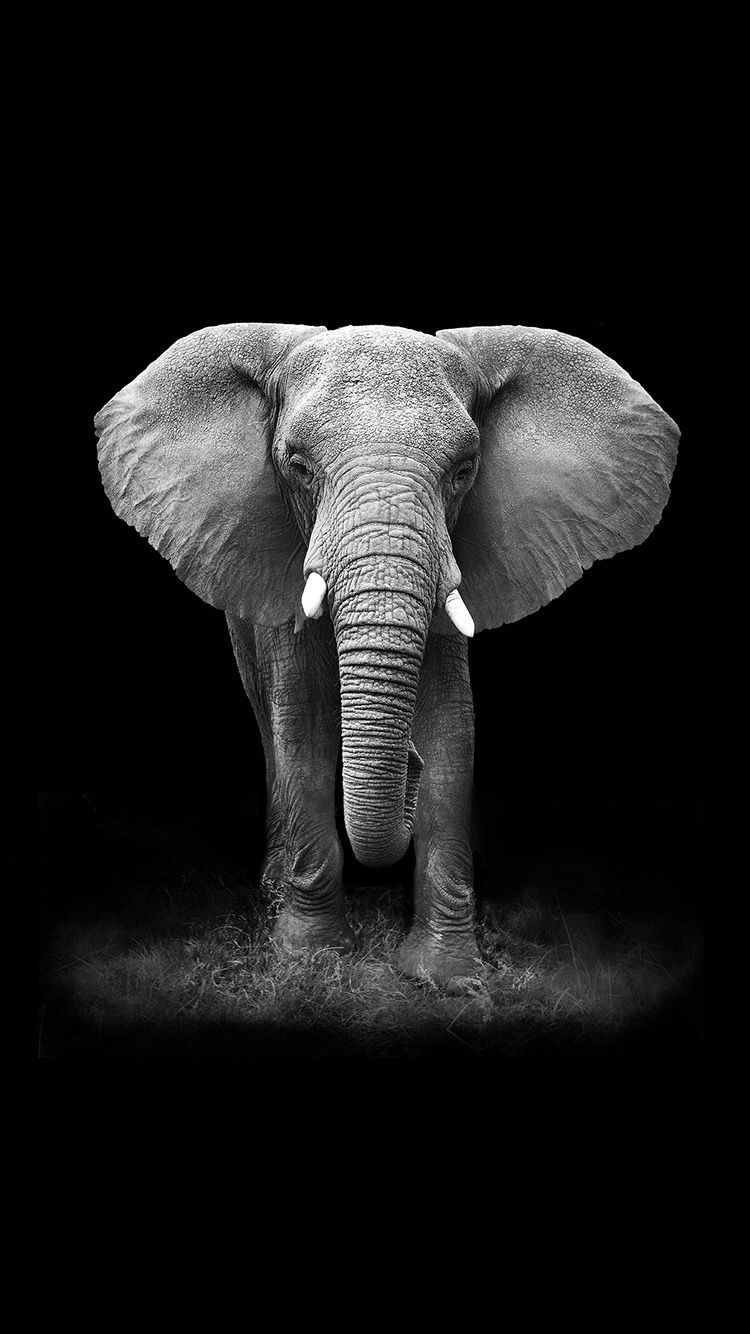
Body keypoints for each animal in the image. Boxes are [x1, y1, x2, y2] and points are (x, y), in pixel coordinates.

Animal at [95, 322, 679, 985]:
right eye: (297, 467)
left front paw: (446, 976)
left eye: (464, 470)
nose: (408, 768)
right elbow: (304, 725)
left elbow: (452, 728)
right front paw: (311, 957)